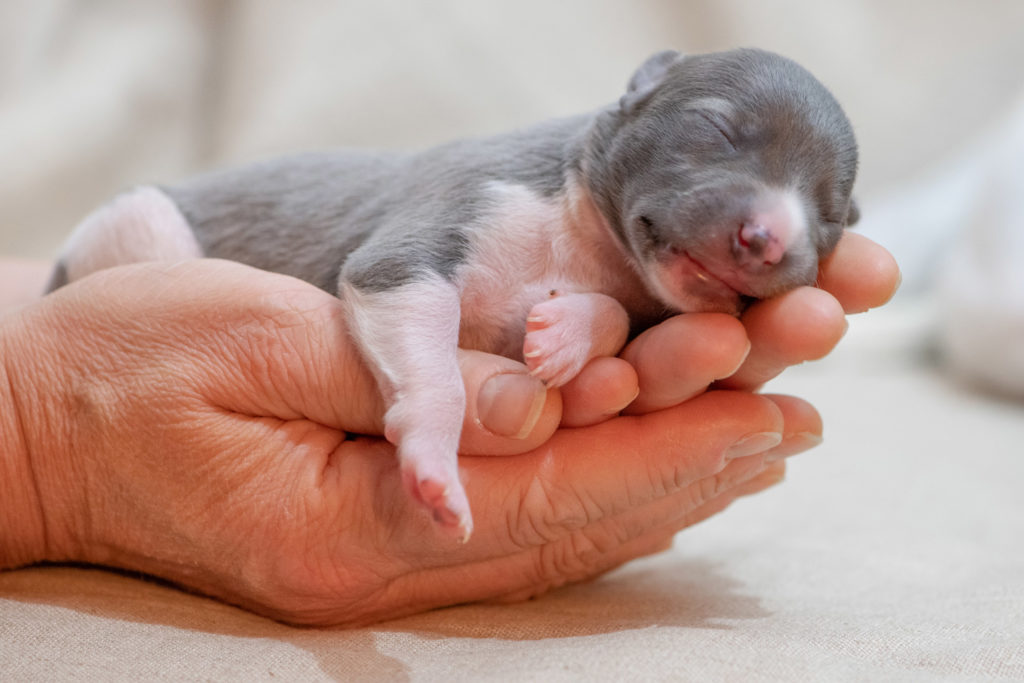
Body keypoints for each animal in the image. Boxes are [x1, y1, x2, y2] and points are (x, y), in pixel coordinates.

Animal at [51, 48, 860, 540]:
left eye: (829, 216)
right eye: (717, 127)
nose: (769, 238)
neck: (583, 237)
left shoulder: (633, 288)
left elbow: (611, 309)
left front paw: (565, 334)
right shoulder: (430, 234)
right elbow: (429, 353)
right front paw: (435, 468)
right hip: (137, 227)